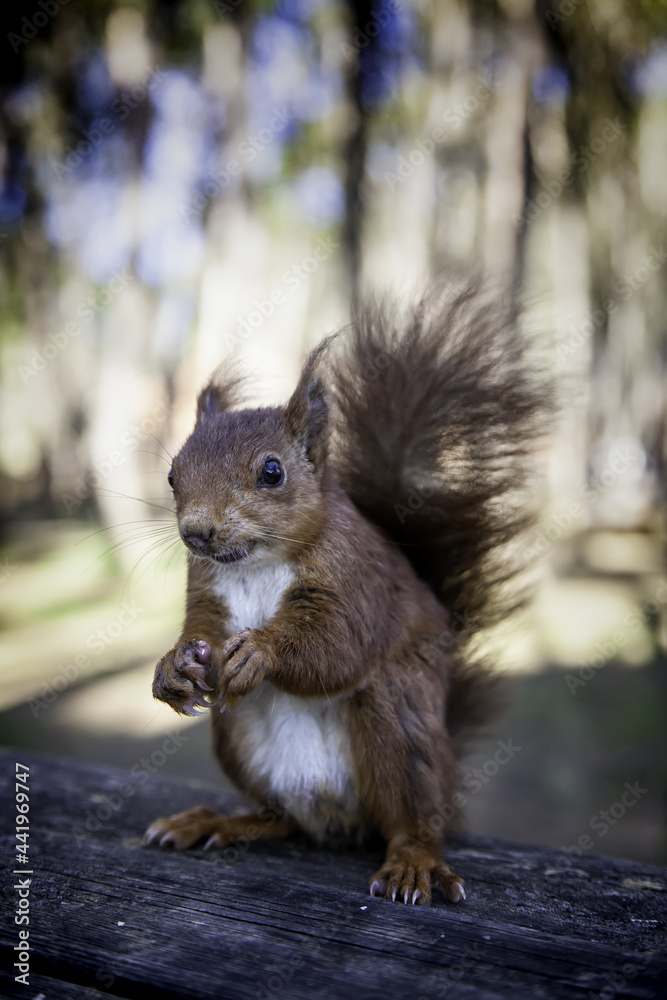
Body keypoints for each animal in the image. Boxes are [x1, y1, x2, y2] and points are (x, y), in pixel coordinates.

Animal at [145, 284, 547, 906]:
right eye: (172, 474)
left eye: (272, 472)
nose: (196, 533)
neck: (258, 563)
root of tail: (335, 819)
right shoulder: (207, 588)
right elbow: (202, 631)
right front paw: (173, 667)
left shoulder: (358, 580)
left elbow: (338, 644)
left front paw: (261, 651)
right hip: (236, 738)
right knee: (281, 818)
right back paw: (219, 821)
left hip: (397, 720)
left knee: (412, 817)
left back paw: (414, 862)